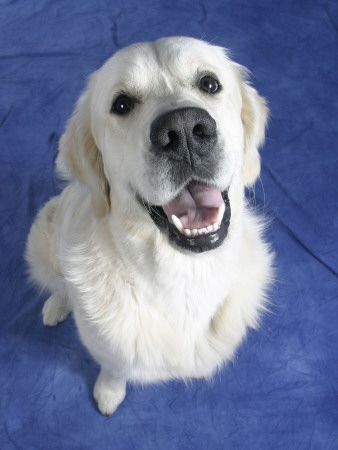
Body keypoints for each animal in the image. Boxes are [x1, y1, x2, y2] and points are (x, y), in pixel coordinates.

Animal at [26, 37, 274, 416]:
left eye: (209, 84)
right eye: (122, 104)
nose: (184, 130)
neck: (184, 276)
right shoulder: (108, 348)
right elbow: (114, 367)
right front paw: (109, 393)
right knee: (58, 282)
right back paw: (56, 305)